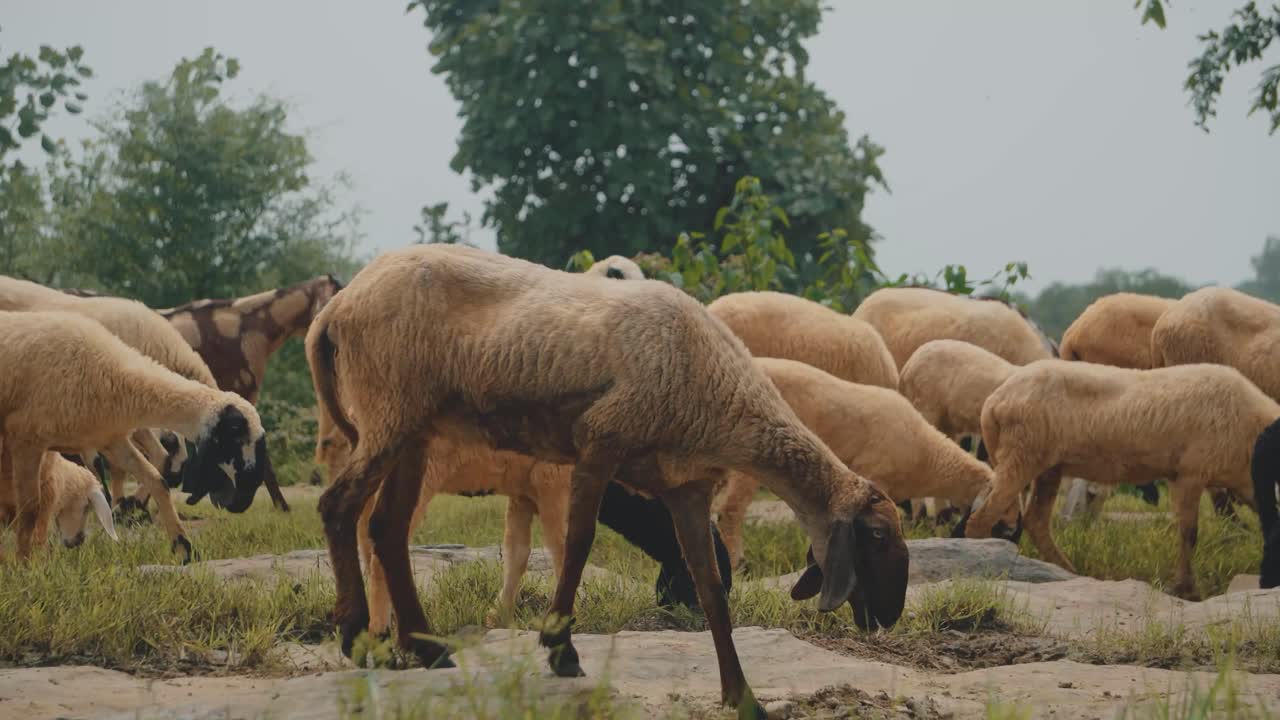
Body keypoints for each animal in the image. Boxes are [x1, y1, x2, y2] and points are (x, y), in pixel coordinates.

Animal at [0, 310, 267, 561]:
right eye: (235, 433)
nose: (244, 500)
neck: (115, 373)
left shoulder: (111, 441)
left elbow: (156, 480)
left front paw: (184, 548)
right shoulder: (26, 439)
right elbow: (30, 508)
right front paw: (25, 563)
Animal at [714, 357, 1020, 568]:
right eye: (1005, 504)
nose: (1015, 536)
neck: (928, 456)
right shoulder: (873, 477)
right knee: (730, 511)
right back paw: (738, 563)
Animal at [961, 359, 1280, 598]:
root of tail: (994, 401)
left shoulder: (1249, 483)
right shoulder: (1189, 473)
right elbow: (1189, 533)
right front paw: (1186, 589)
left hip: (1046, 465)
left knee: (1035, 522)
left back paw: (1071, 572)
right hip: (1022, 456)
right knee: (983, 518)